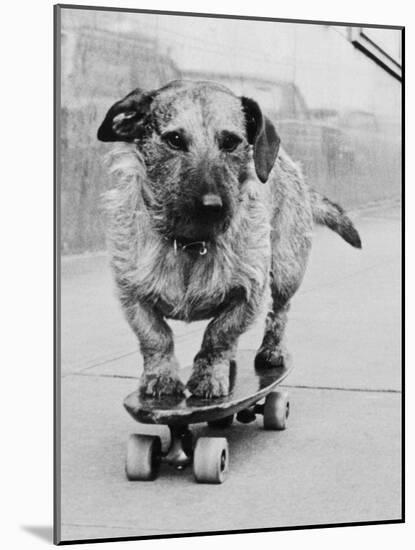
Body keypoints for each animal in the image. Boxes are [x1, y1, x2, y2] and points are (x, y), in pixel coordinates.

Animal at [97, 81, 360, 402]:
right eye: (174, 139)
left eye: (231, 142)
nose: (213, 205)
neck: (191, 242)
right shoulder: (133, 296)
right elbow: (155, 336)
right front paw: (161, 377)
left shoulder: (249, 294)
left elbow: (218, 334)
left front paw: (208, 376)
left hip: (287, 272)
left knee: (279, 312)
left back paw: (271, 350)